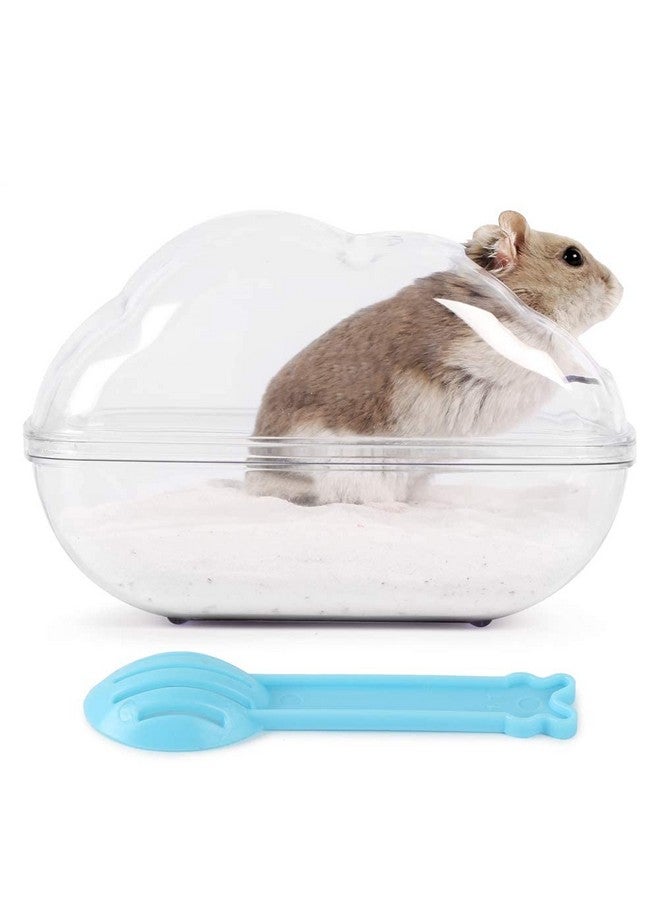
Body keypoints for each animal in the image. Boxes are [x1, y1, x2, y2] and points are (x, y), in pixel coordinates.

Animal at [248, 211, 622, 505]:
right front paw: (595, 373)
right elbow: (557, 359)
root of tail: (262, 474)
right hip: (347, 467)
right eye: (573, 257)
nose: (620, 289)